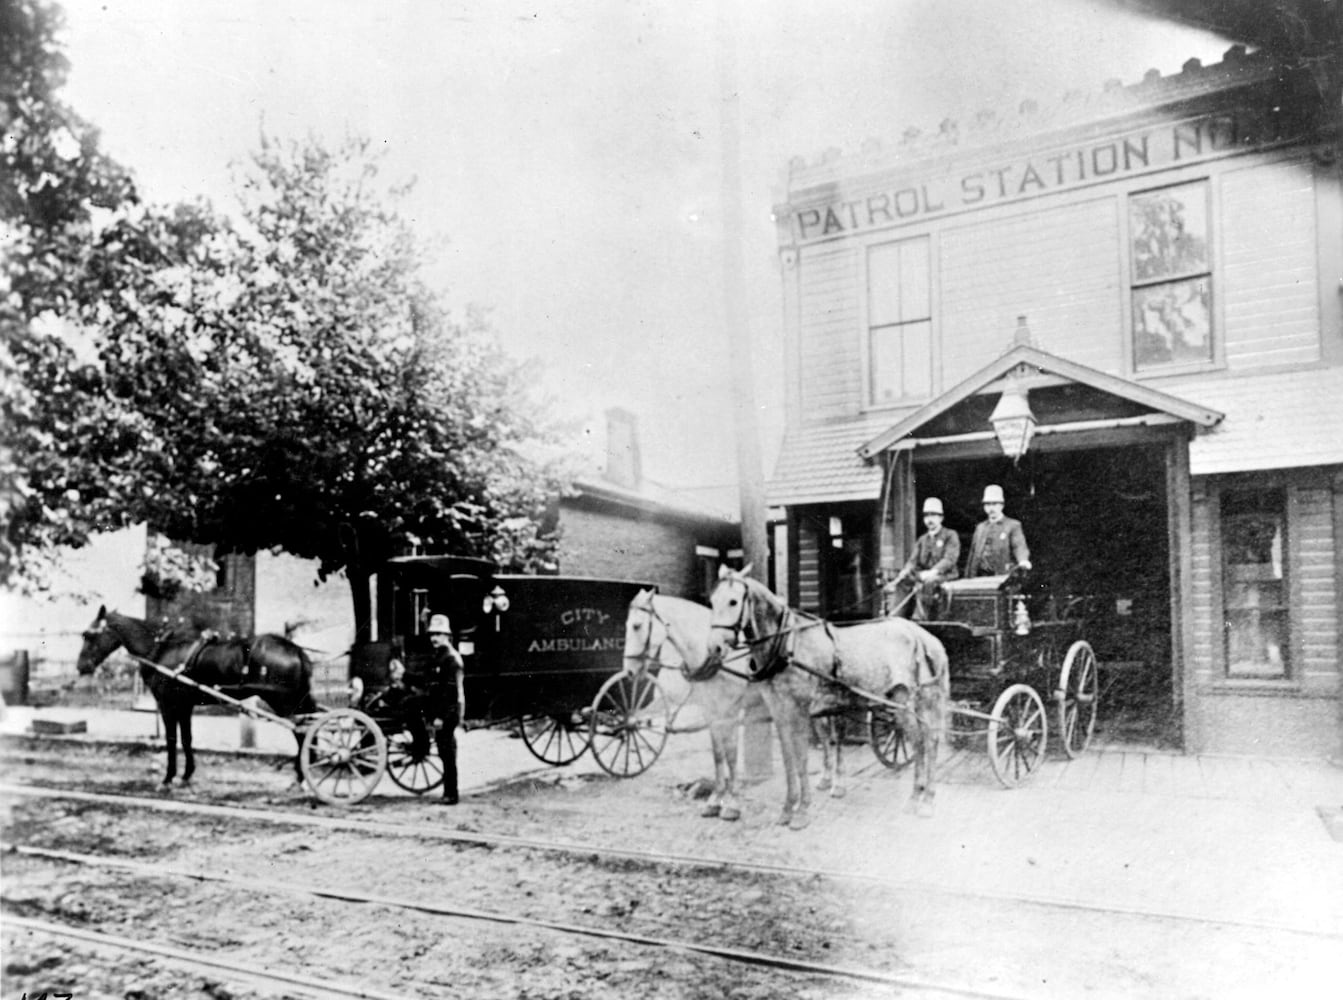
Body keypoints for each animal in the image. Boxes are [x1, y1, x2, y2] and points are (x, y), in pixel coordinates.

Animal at [77, 604, 316, 783]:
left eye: (88, 635)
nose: (81, 667)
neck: (160, 651)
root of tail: (295, 650)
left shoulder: (168, 705)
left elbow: (172, 739)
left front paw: (169, 776)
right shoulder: (184, 706)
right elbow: (187, 738)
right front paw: (187, 774)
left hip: (285, 704)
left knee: (301, 733)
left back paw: (303, 776)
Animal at [620, 585, 768, 821]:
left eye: (637, 625)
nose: (630, 672)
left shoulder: (730, 712)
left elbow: (731, 755)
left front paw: (732, 803)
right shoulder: (711, 712)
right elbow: (718, 754)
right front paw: (715, 800)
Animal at [703, 566, 945, 832]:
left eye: (733, 601)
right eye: (712, 601)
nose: (714, 648)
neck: (786, 645)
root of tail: (923, 636)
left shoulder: (799, 711)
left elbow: (801, 758)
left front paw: (802, 811)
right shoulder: (780, 712)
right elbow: (788, 759)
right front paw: (787, 809)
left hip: (911, 702)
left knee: (925, 743)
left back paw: (923, 800)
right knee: (924, 741)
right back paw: (921, 796)